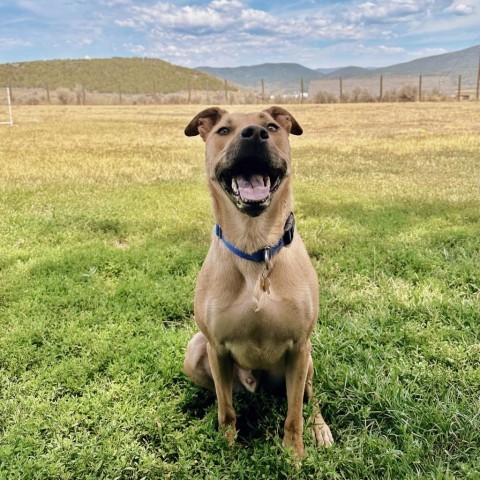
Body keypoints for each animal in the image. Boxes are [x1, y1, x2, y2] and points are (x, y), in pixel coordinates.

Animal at [182, 107, 332, 456]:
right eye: (223, 130)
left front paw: (294, 454)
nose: (253, 134)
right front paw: (227, 448)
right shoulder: (216, 347)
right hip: (195, 350)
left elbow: (294, 414)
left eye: (273, 127)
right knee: (224, 394)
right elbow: (226, 410)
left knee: (311, 396)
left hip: (308, 360)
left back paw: (320, 428)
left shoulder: (300, 346)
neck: (256, 247)